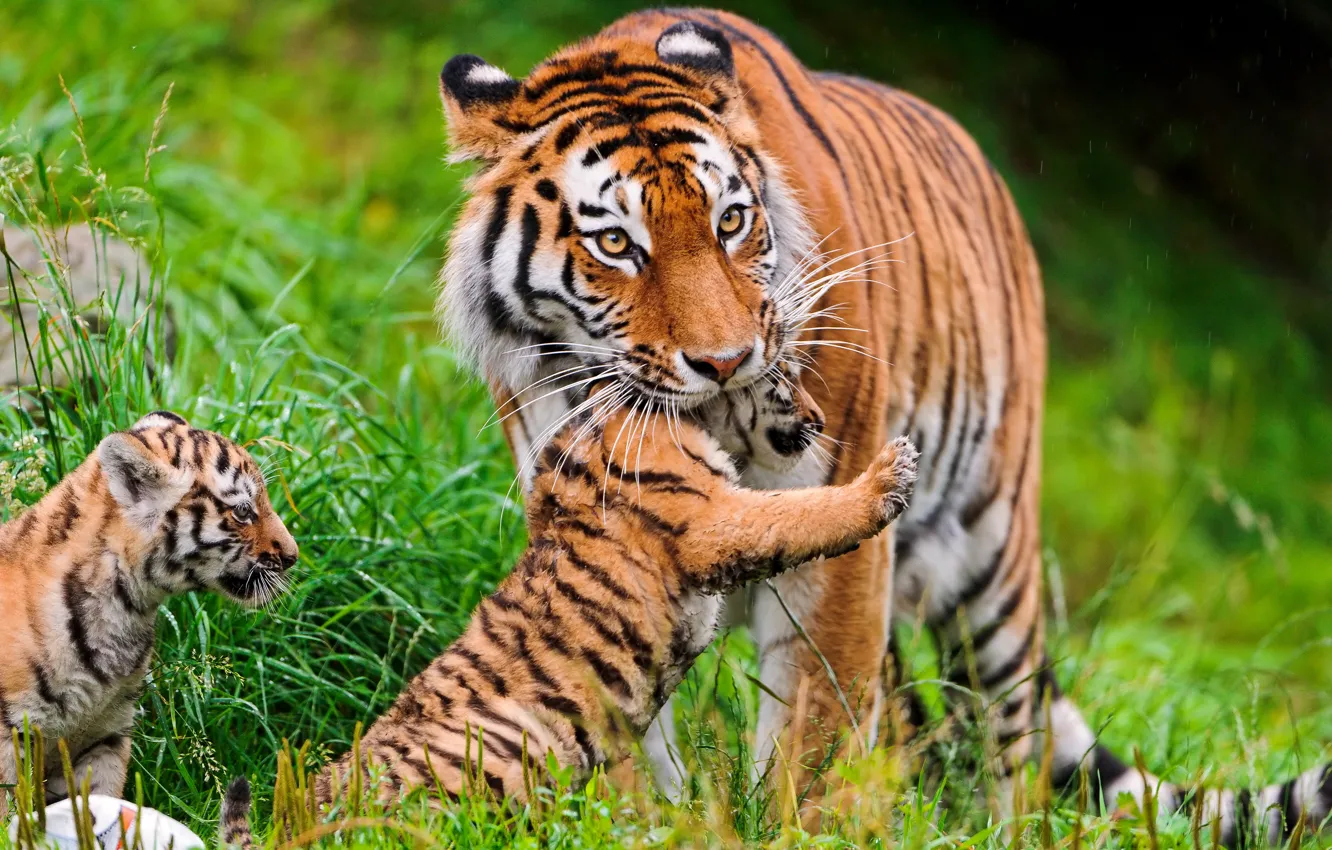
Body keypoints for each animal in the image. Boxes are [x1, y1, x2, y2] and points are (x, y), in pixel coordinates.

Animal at [219, 380, 916, 848]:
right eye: (784, 373)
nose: (820, 417)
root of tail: (296, 818)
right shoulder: (709, 519)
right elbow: (799, 513)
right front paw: (888, 476)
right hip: (505, 744)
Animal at [431, 7, 1331, 843]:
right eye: (617, 243)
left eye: (729, 222)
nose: (726, 360)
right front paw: (642, 822)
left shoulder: (839, 538)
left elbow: (815, 731)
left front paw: (798, 827)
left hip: (994, 563)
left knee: (1008, 746)